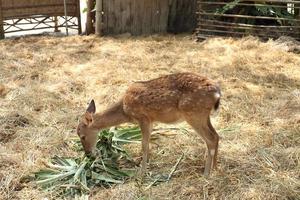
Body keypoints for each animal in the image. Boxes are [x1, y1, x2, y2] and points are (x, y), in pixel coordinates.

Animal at [76, 72, 221, 176]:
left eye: (82, 136)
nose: (88, 154)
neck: (125, 110)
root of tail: (217, 93)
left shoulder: (143, 118)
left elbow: (144, 145)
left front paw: (141, 172)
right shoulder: (151, 120)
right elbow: (148, 142)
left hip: (193, 113)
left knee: (210, 138)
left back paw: (206, 173)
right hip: (203, 115)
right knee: (216, 135)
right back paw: (215, 168)